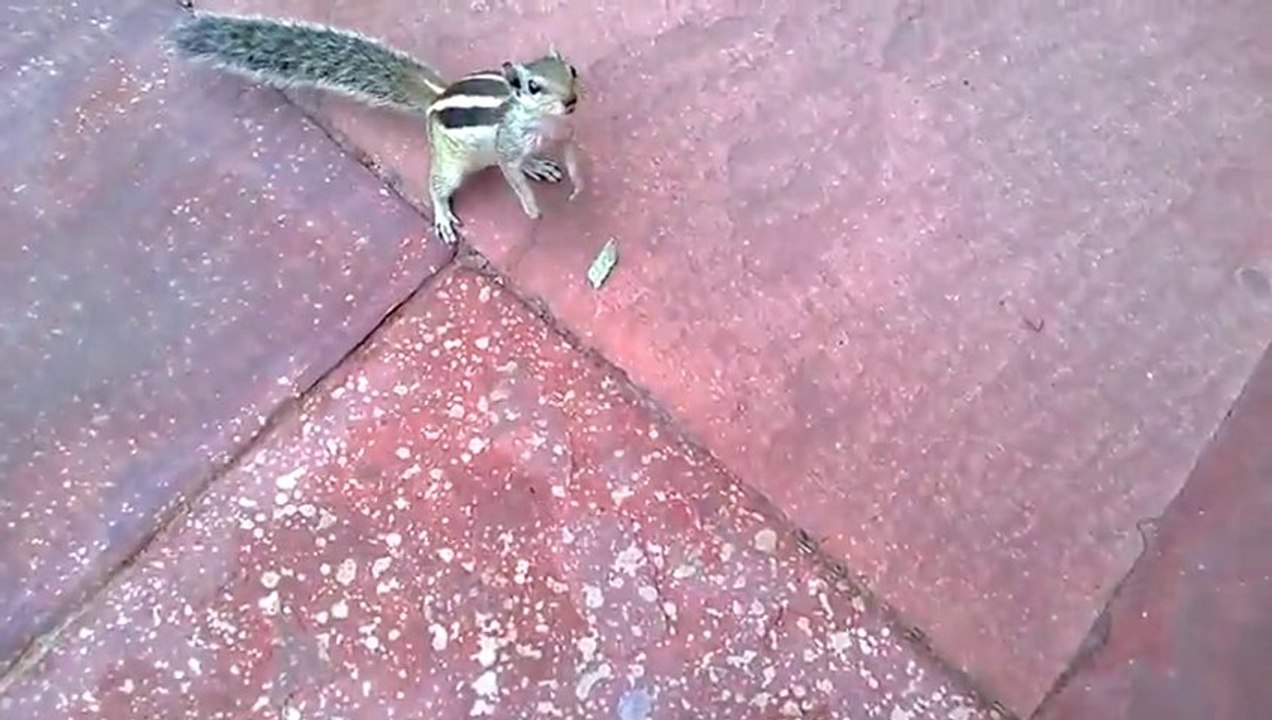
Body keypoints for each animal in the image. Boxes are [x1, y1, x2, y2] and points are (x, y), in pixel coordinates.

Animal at [171, 11, 584, 246]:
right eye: (534, 87)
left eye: (572, 71)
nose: (571, 101)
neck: (545, 123)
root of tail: (436, 99)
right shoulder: (508, 142)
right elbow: (511, 173)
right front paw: (531, 207)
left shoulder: (564, 134)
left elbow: (564, 156)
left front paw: (571, 179)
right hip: (450, 162)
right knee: (438, 184)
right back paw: (442, 214)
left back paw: (537, 165)